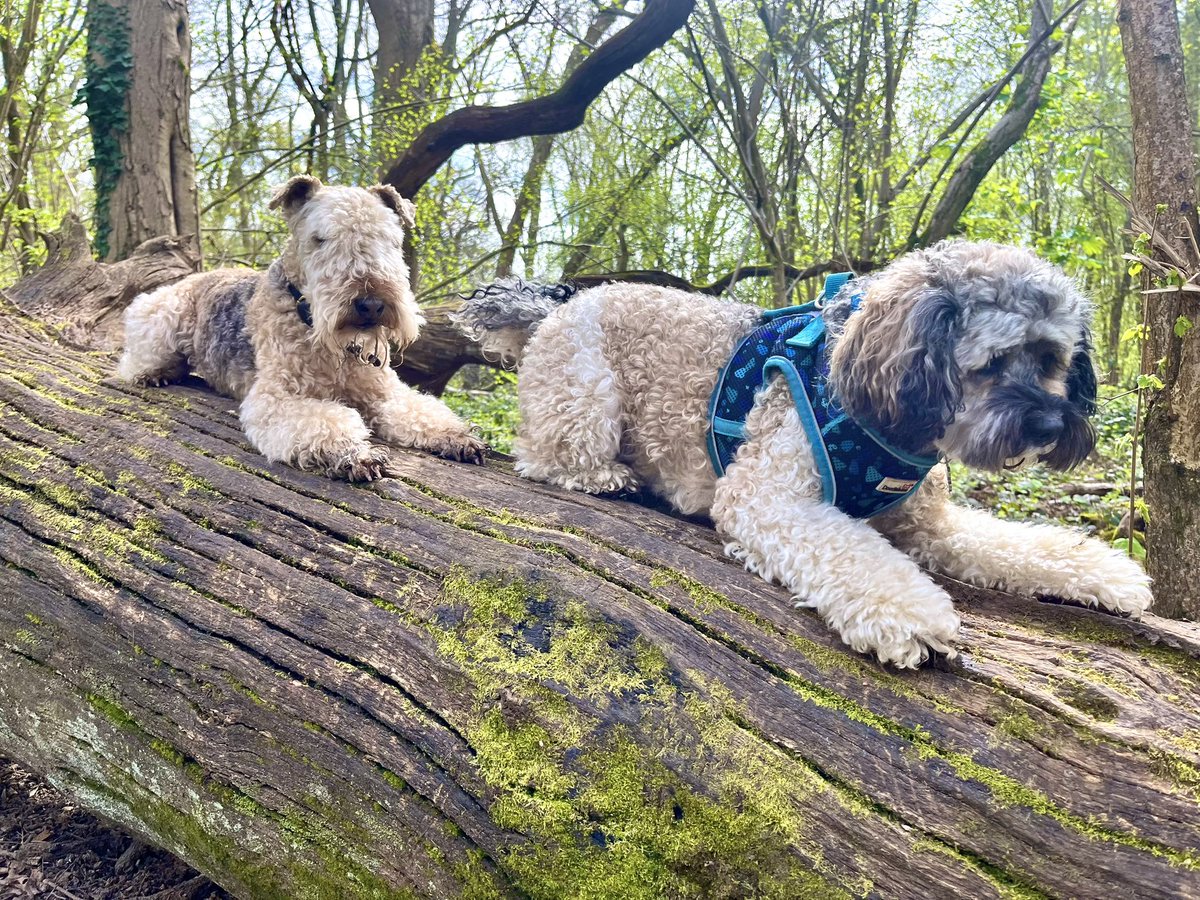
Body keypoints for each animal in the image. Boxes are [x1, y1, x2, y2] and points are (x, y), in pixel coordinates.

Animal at [117, 177, 482, 487]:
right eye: (320, 239)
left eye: (389, 240)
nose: (371, 305)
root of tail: (198, 276)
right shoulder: (276, 398)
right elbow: (328, 422)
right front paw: (354, 451)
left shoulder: (384, 393)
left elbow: (420, 409)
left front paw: (456, 435)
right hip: (162, 319)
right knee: (133, 362)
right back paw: (157, 373)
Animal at [456, 240, 1152, 672]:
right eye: (993, 362)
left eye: (1053, 360)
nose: (1051, 424)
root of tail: (564, 301)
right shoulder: (766, 496)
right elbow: (852, 556)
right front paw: (910, 613)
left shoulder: (930, 526)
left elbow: (1013, 542)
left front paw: (1104, 573)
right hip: (586, 396)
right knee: (544, 454)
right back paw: (606, 477)